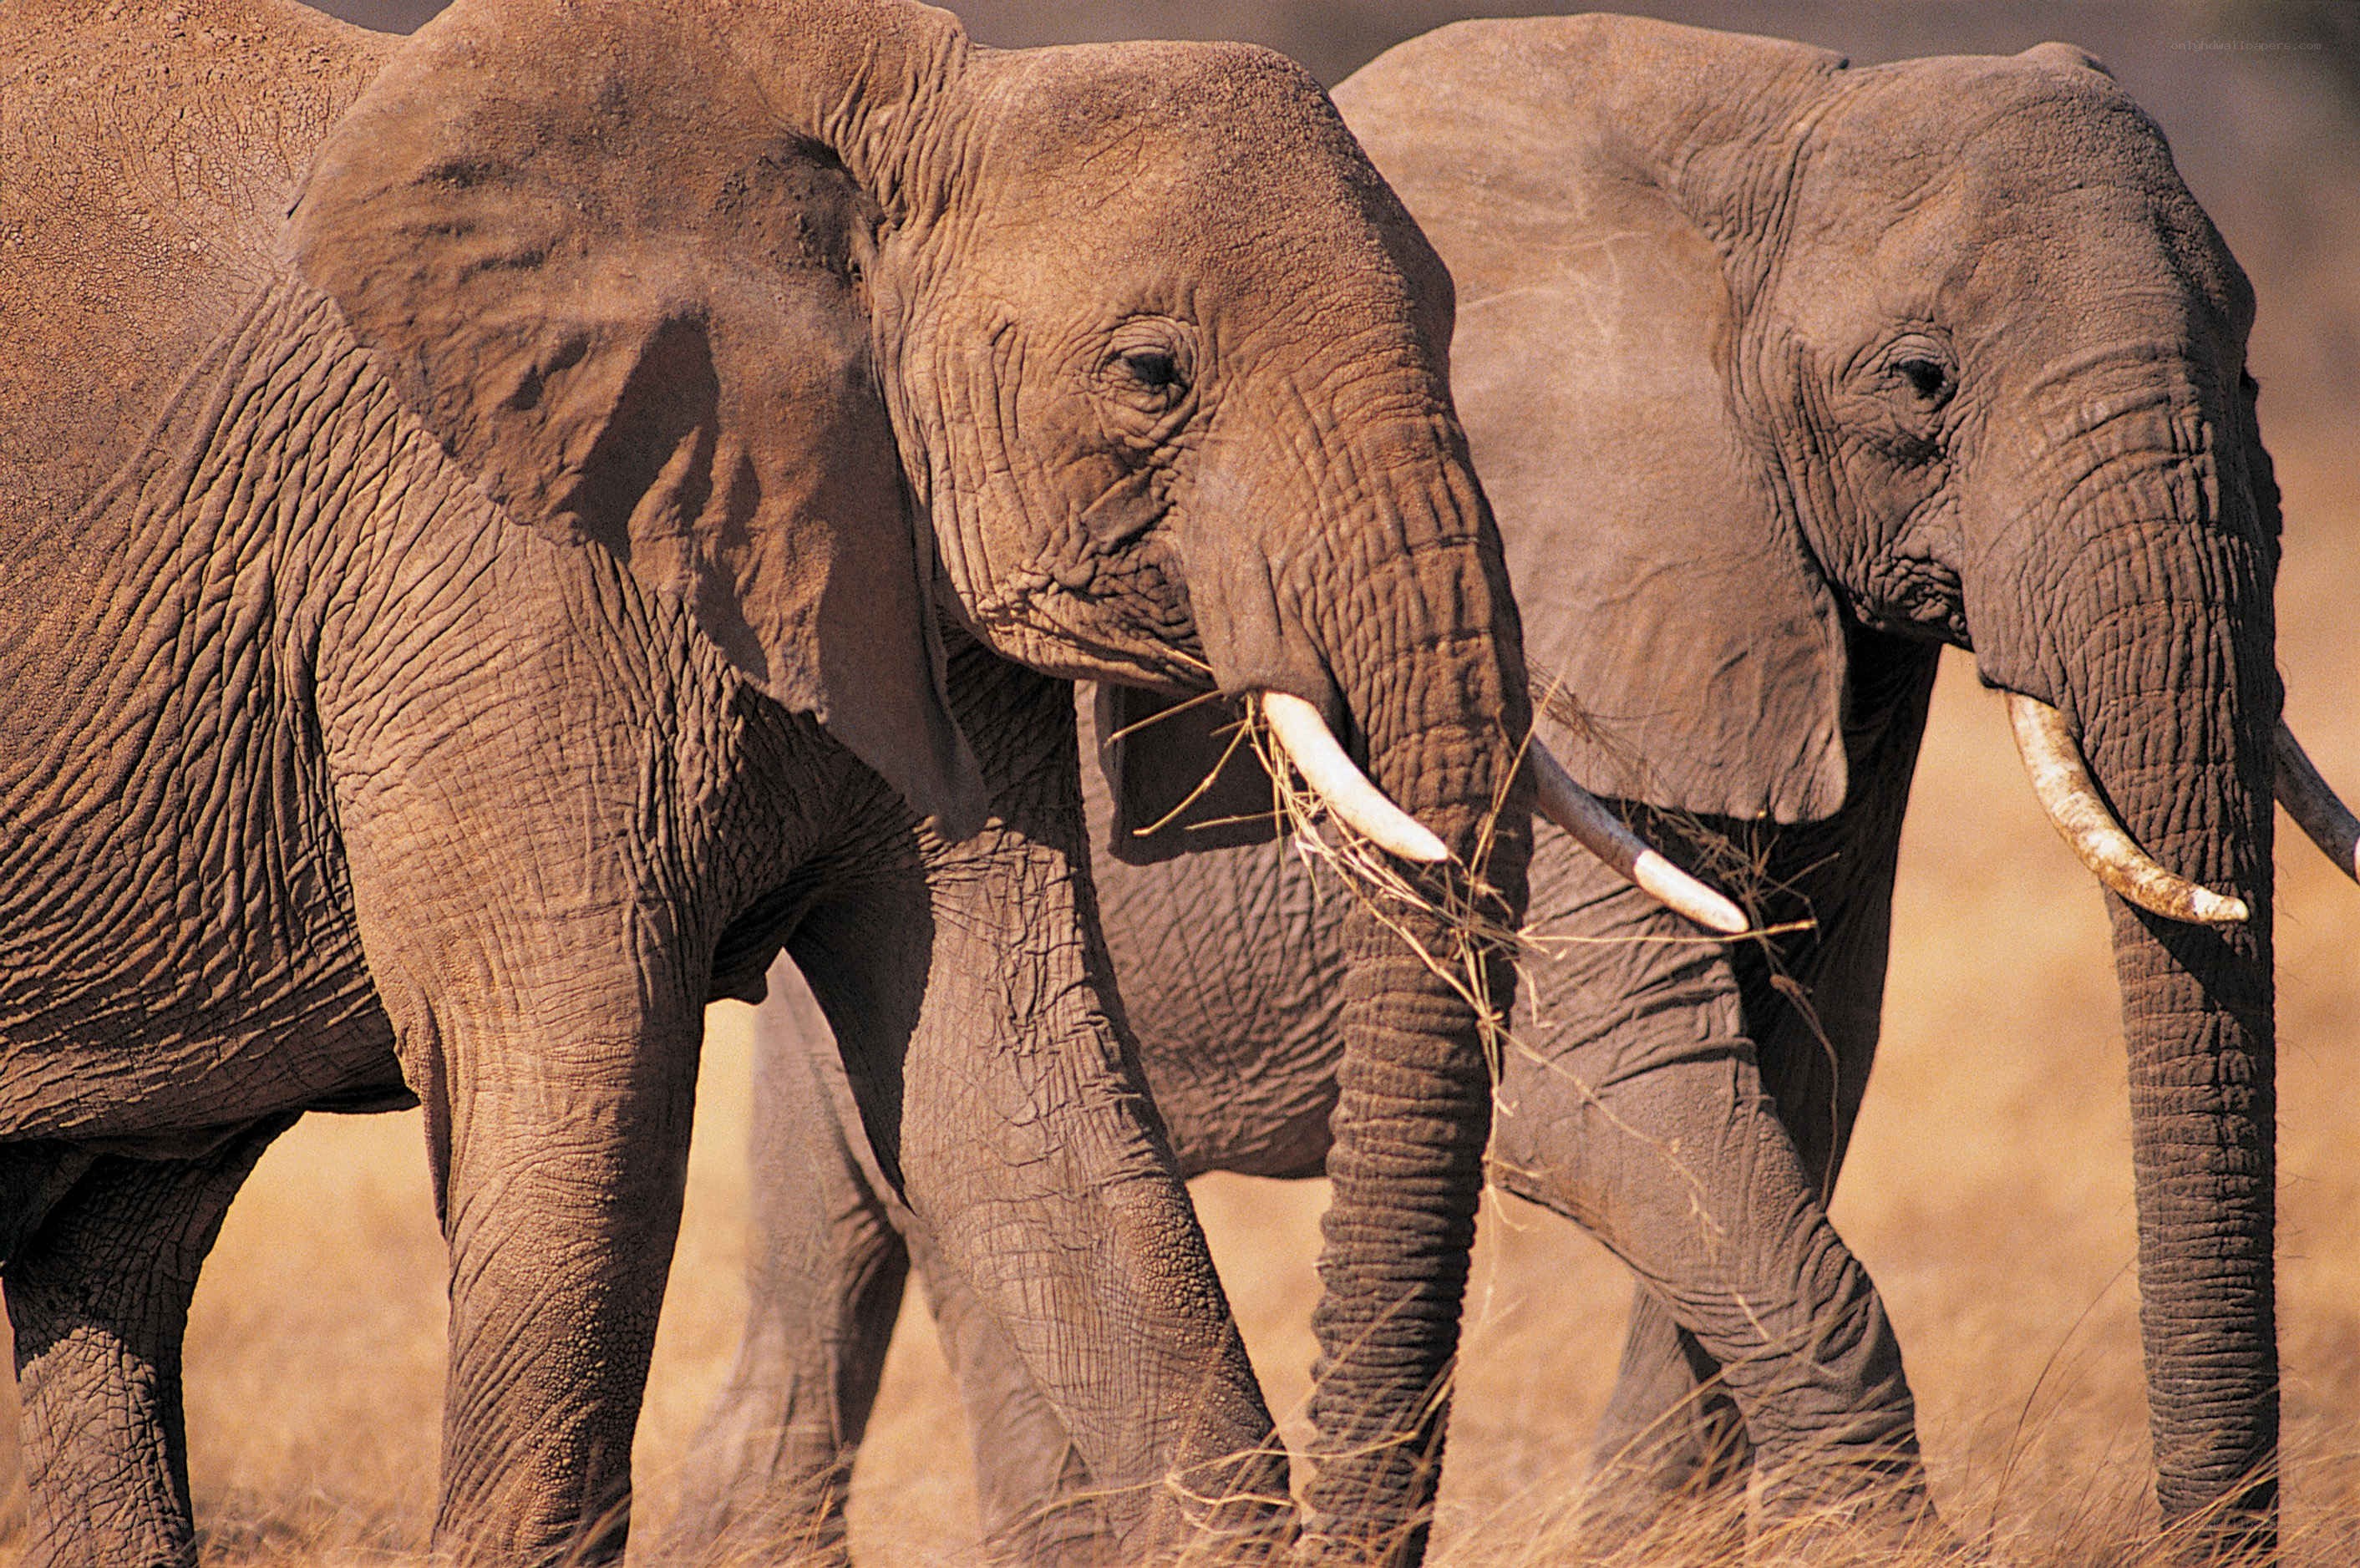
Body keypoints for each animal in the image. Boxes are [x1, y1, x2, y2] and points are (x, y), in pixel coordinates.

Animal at [0, 0, 1761, 1560]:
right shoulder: (489, 574)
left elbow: (1027, 1099)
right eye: (1151, 373)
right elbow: (582, 1112)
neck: (895, 123)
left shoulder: (902, 566)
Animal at [679, 13, 2360, 1565]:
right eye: (1921, 382)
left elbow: (1799, 1078)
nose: (2209, 1530)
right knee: (855, 1236)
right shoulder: (1580, 595)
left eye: (2254, 362)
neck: (1782, 129)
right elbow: (1609, 1090)